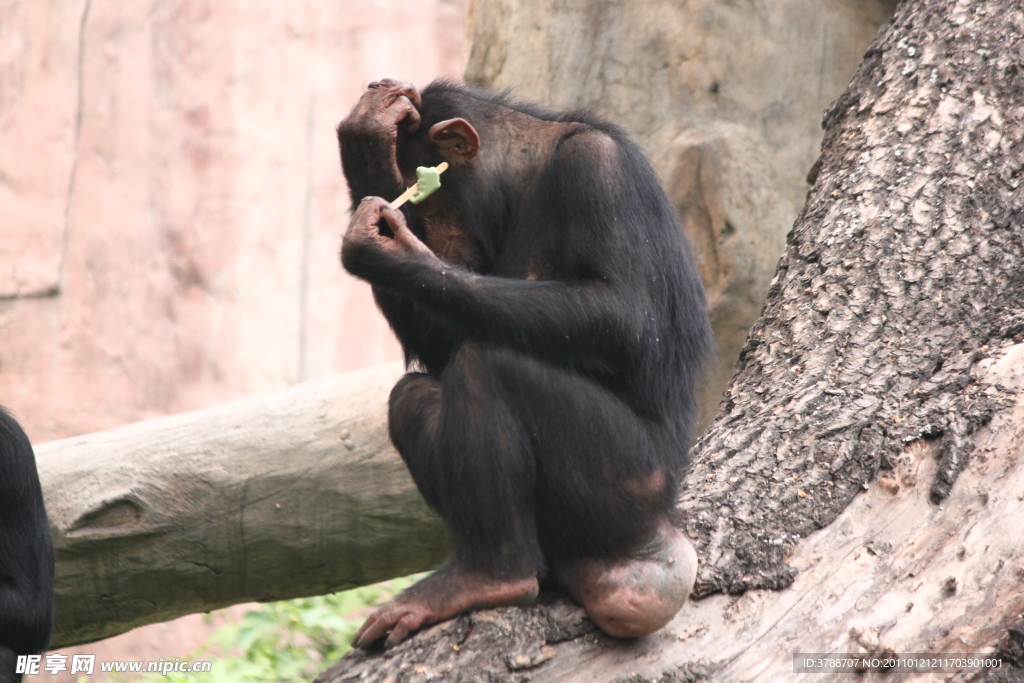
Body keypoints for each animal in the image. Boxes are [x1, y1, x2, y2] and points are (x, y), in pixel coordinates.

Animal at [335, 78, 712, 647]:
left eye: (433, 204)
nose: (426, 234)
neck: (526, 171)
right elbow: (446, 337)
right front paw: (367, 144)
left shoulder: (596, 170)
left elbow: (622, 312)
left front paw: (389, 251)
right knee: (414, 397)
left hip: (632, 480)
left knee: (489, 364)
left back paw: (492, 577)